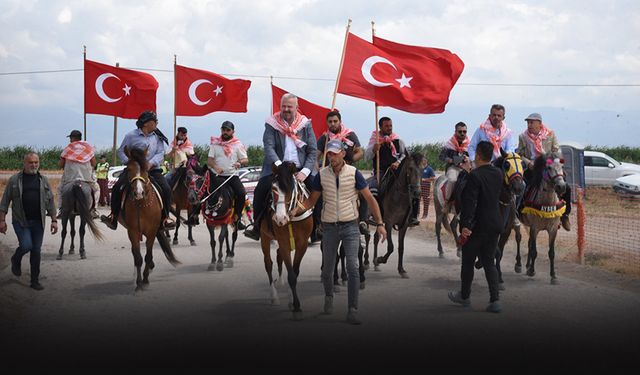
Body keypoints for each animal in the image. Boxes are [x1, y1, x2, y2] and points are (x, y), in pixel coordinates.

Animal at [121, 147, 180, 290]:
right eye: (129, 169)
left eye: (146, 170)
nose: (138, 193)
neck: (141, 204)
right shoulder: (133, 231)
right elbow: (138, 257)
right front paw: (138, 283)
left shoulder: (152, 231)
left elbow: (148, 256)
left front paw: (146, 280)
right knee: (134, 252)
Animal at [258, 162, 312, 320]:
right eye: (273, 189)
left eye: (291, 189)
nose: (280, 219)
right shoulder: (283, 242)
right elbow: (291, 275)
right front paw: (297, 307)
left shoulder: (302, 244)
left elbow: (294, 271)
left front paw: (292, 301)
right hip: (264, 236)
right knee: (268, 264)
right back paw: (274, 296)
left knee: (278, 256)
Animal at [524, 156, 568, 284]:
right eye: (548, 167)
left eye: (562, 167)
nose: (561, 186)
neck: (547, 204)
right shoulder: (535, 228)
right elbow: (534, 251)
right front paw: (532, 271)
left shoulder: (553, 230)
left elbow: (551, 253)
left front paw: (553, 275)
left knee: (529, 243)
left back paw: (527, 266)